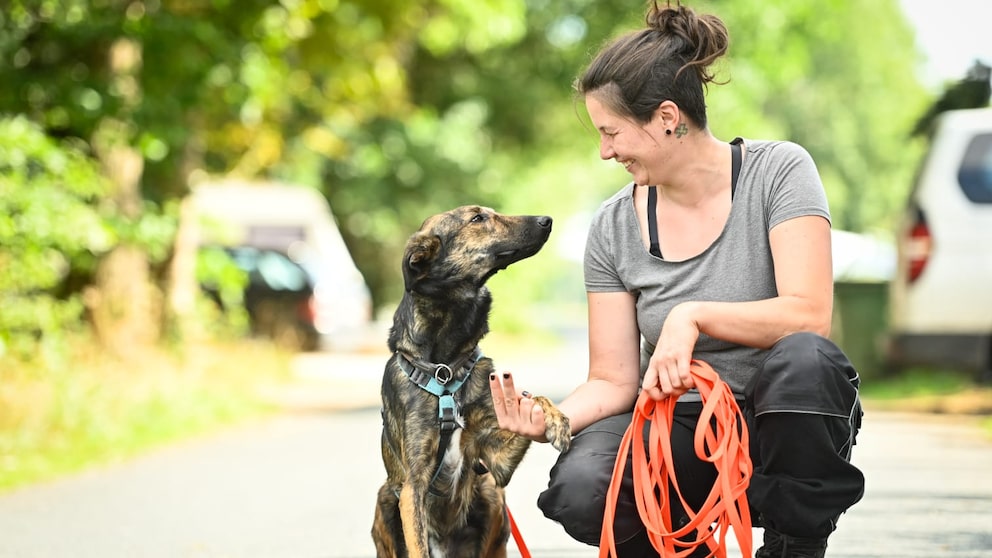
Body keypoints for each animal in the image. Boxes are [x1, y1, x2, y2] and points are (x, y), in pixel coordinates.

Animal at [370, 207, 572, 558]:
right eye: (477, 218)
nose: (547, 220)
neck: (445, 369)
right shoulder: (412, 485)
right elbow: (417, 544)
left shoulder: (495, 463)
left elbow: (535, 397)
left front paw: (555, 418)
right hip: (385, 498)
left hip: (490, 494)